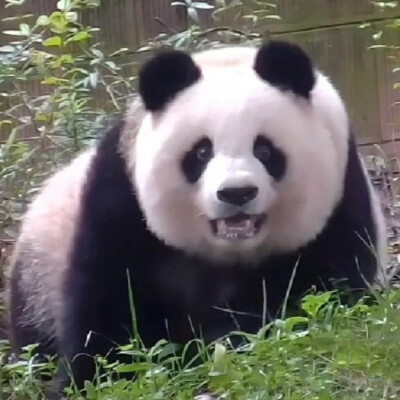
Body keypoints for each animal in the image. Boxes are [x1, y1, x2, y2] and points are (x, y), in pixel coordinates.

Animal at [5, 39, 388, 396]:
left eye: (265, 150)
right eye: (202, 152)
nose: (236, 193)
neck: (229, 253)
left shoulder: (340, 199)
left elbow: (320, 292)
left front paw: (221, 341)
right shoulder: (119, 200)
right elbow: (107, 307)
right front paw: (87, 381)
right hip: (37, 275)